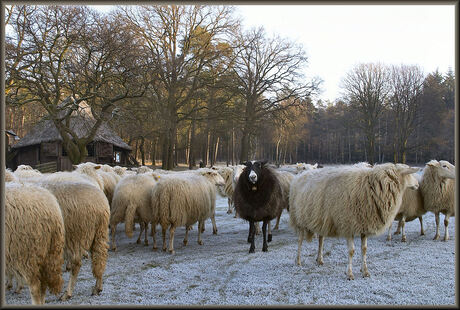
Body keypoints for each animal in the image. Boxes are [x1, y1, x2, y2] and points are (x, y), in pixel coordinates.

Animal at [292, 163, 420, 280]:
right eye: (409, 173)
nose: (418, 185)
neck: (372, 188)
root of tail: (301, 175)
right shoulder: (348, 225)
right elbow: (351, 251)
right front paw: (349, 274)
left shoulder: (365, 225)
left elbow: (364, 250)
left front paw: (365, 271)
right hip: (300, 219)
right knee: (300, 240)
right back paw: (298, 261)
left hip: (320, 219)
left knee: (321, 240)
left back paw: (319, 259)